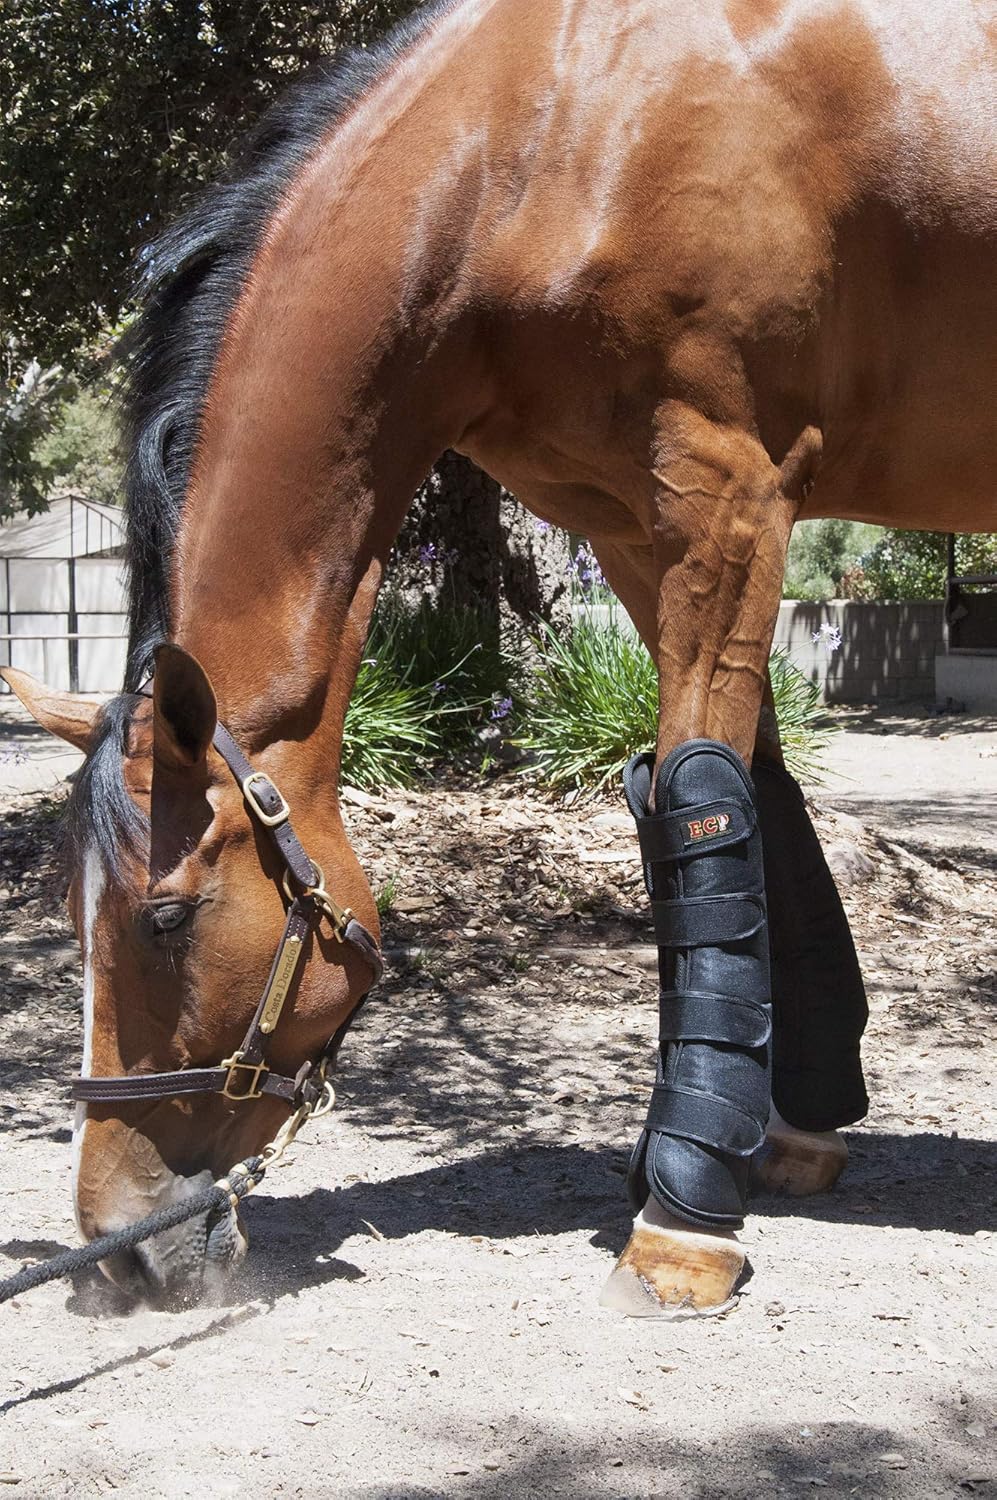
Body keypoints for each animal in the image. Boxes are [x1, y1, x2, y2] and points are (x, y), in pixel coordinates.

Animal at [3, 0, 993, 1310]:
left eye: (166, 920)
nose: (118, 1248)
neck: (546, 138)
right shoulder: (631, 527)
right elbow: (740, 799)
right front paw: (776, 1126)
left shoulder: (730, 500)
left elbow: (700, 799)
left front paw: (683, 1213)